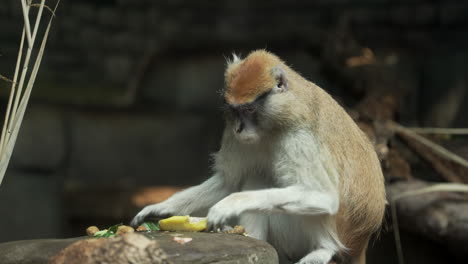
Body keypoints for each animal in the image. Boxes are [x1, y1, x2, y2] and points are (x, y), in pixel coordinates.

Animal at [130, 50, 386, 264]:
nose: (239, 129)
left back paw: (324, 249)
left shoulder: (299, 137)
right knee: (257, 176)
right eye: (234, 111)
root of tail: (360, 242)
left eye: (250, 110)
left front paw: (229, 205)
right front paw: (160, 208)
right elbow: (228, 182)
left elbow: (324, 197)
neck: (273, 122)